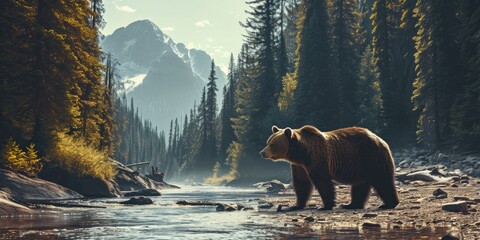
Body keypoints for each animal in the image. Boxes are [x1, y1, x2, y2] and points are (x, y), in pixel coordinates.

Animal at [260, 125, 400, 210]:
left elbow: (323, 181)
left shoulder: (318, 158)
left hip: (371, 156)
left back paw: (389, 204)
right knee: (360, 184)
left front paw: (325, 205)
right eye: (268, 142)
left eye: (272, 144)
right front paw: (296, 205)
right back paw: (351, 204)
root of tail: (382, 140)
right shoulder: (299, 166)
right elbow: (301, 184)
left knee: (382, 179)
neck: (301, 153)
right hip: (359, 164)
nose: (262, 152)